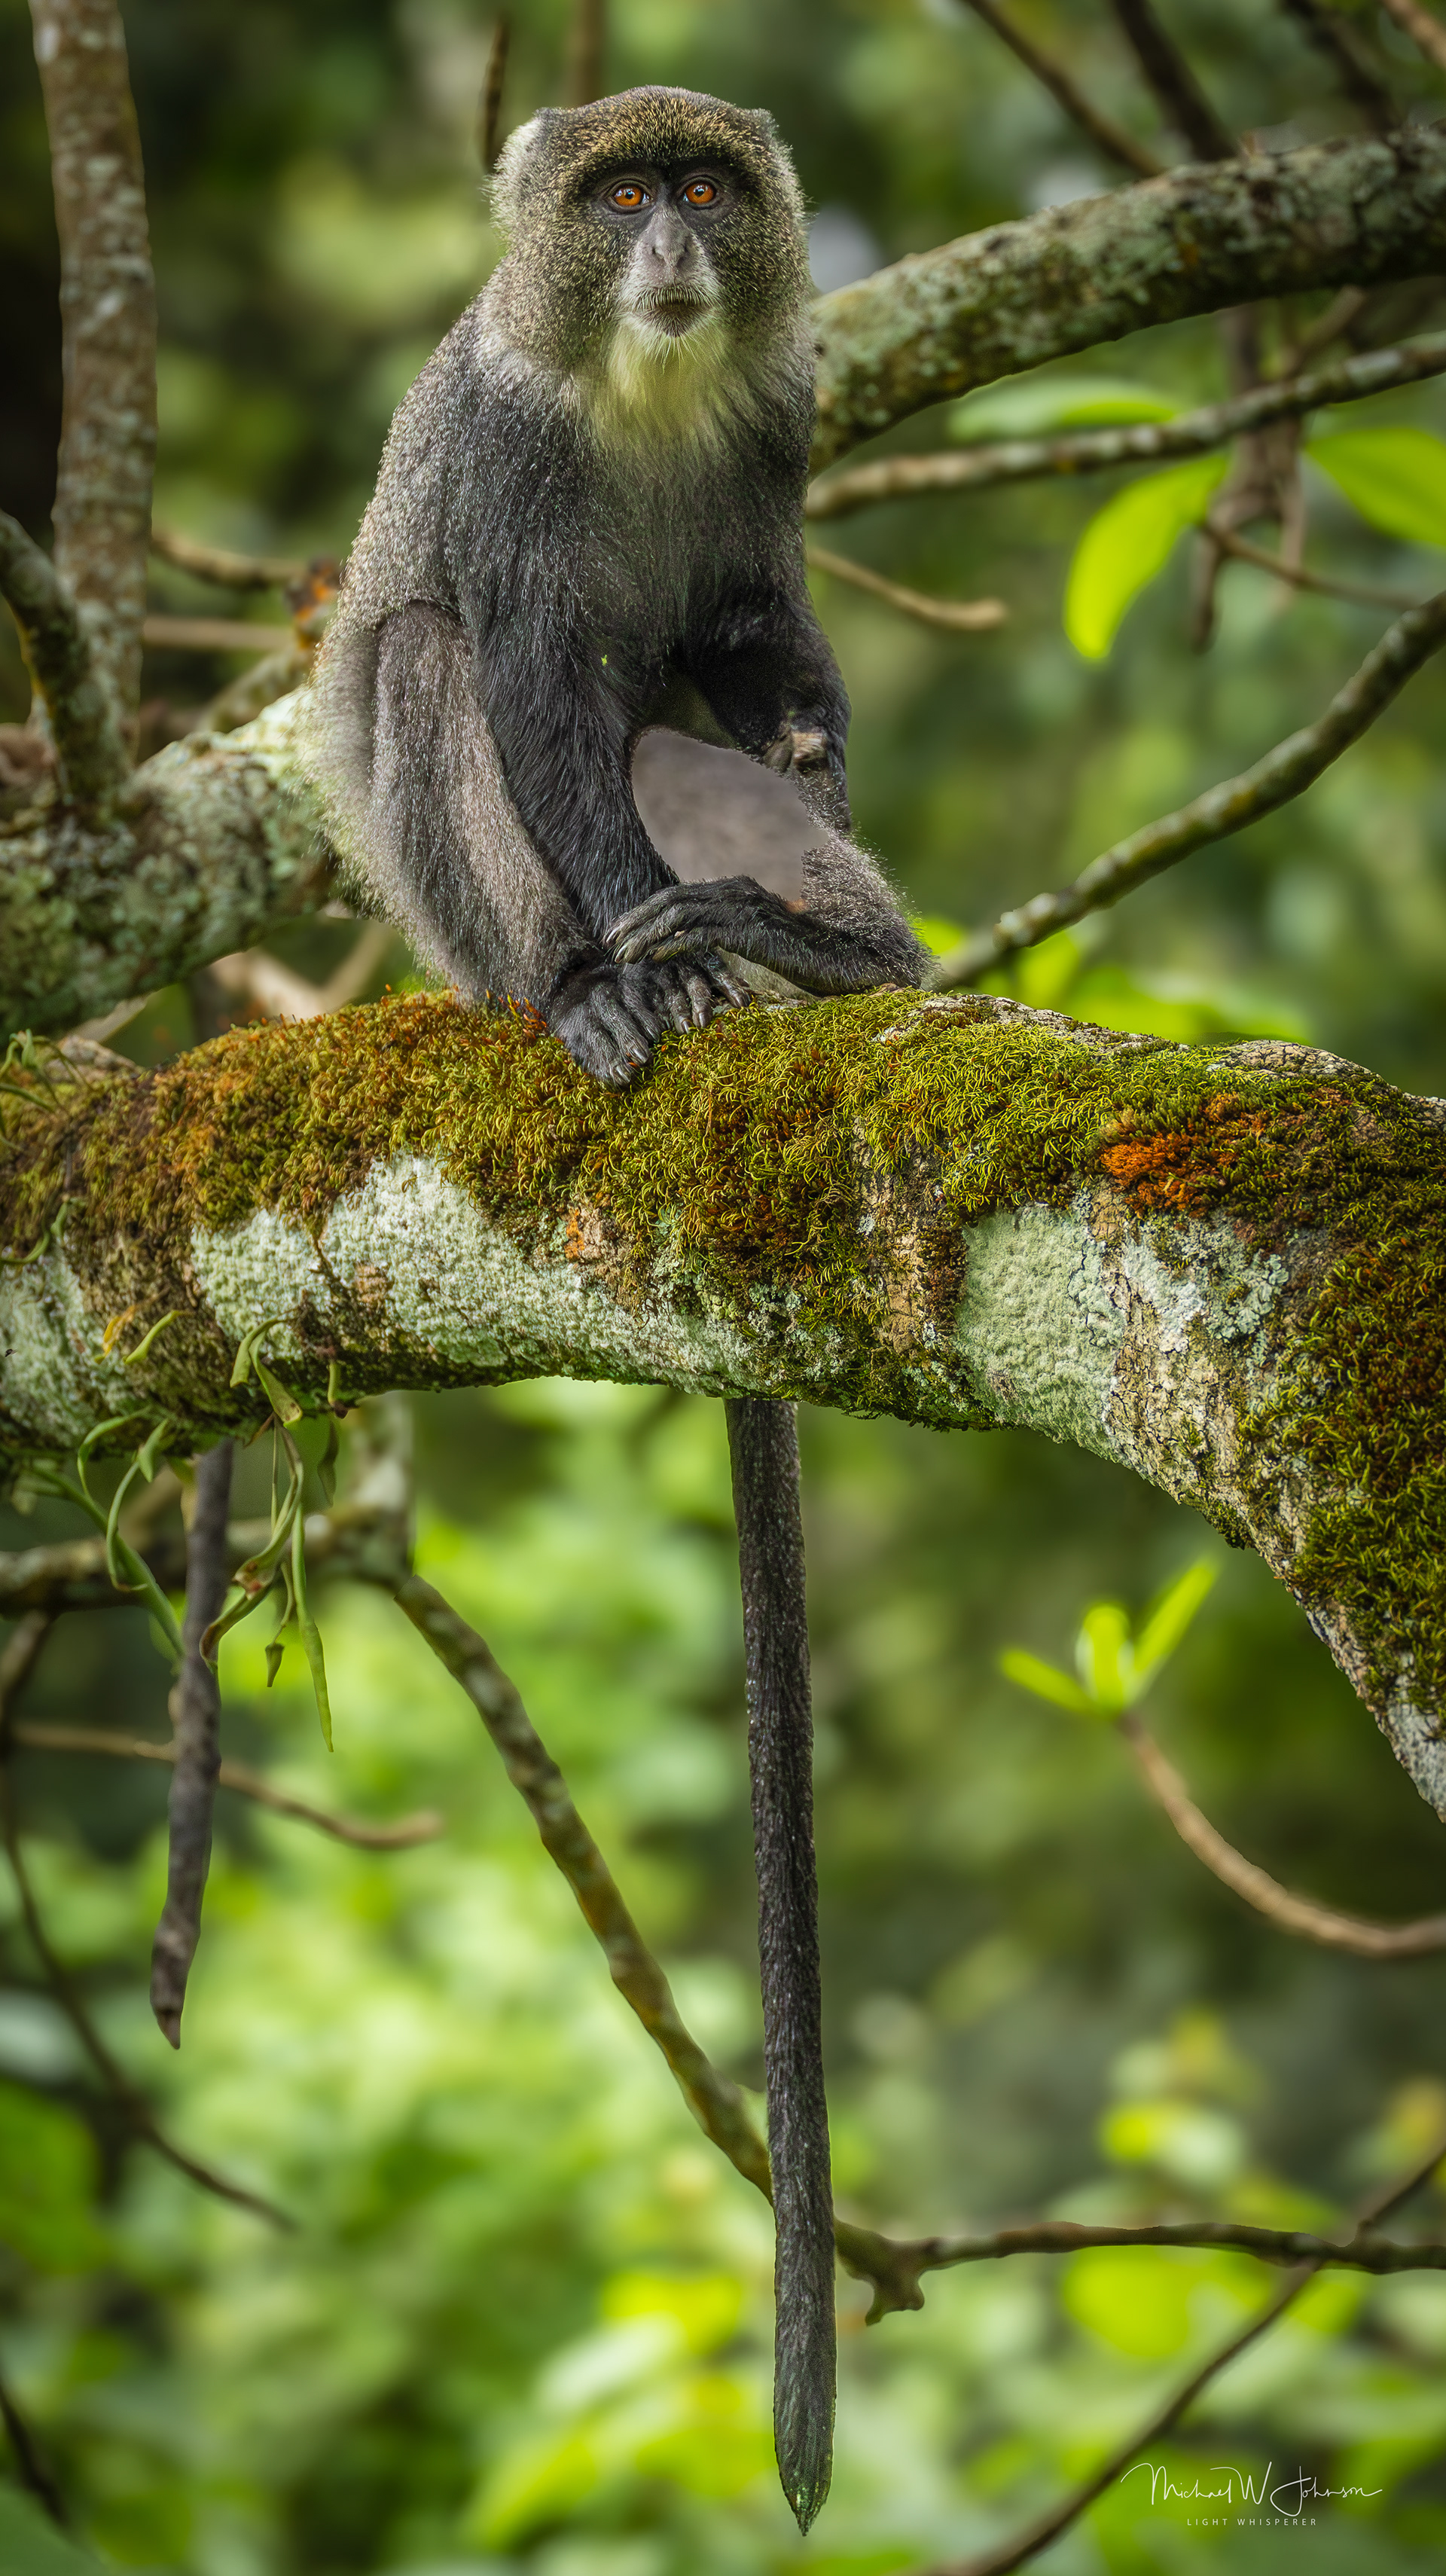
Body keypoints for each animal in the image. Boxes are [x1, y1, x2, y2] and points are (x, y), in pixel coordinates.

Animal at [309, 86, 927, 2531]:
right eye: (613, 196)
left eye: (702, 190)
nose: (669, 243)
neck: (646, 391)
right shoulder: (502, 465)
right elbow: (529, 681)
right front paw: (627, 948)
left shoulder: (777, 418)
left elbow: (750, 647)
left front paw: (801, 737)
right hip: (460, 900)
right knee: (435, 681)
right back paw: (608, 979)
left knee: (705, 738)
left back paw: (818, 948)